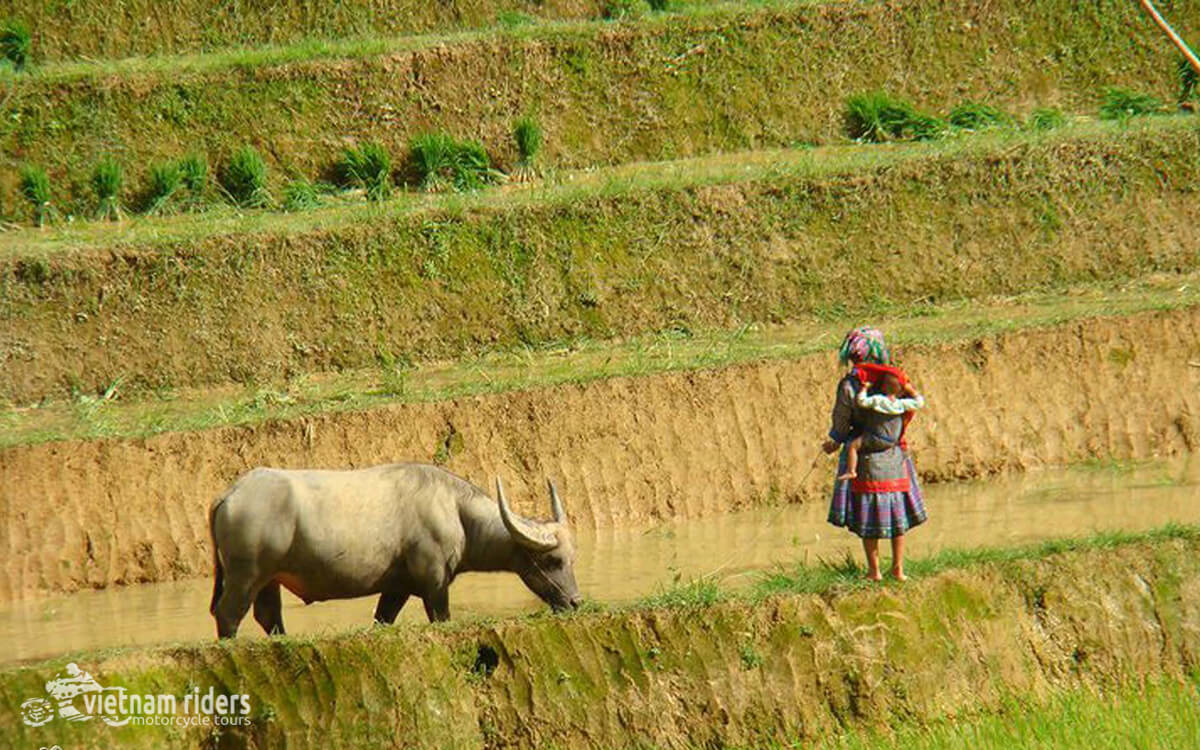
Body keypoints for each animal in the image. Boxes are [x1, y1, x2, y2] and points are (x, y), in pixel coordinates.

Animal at [208, 463, 583, 638]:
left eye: (572, 559)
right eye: (553, 560)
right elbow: (441, 616)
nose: (575, 601)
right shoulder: (434, 582)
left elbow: (382, 619)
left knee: (268, 615)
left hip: (268, 579)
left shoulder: (397, 587)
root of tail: (229, 495)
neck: (455, 511)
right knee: (229, 614)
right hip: (246, 575)